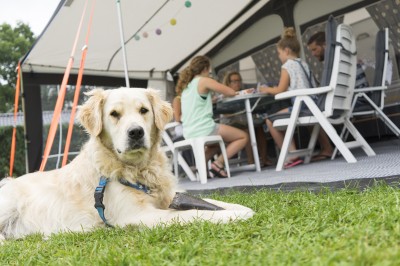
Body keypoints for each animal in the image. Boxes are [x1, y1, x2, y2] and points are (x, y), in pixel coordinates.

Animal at [0, 87, 253, 241]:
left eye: (144, 110)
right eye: (114, 114)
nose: (136, 132)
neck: (137, 169)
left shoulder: (170, 196)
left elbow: (216, 202)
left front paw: (242, 208)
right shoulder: (138, 215)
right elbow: (192, 214)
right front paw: (231, 216)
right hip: (8, 201)